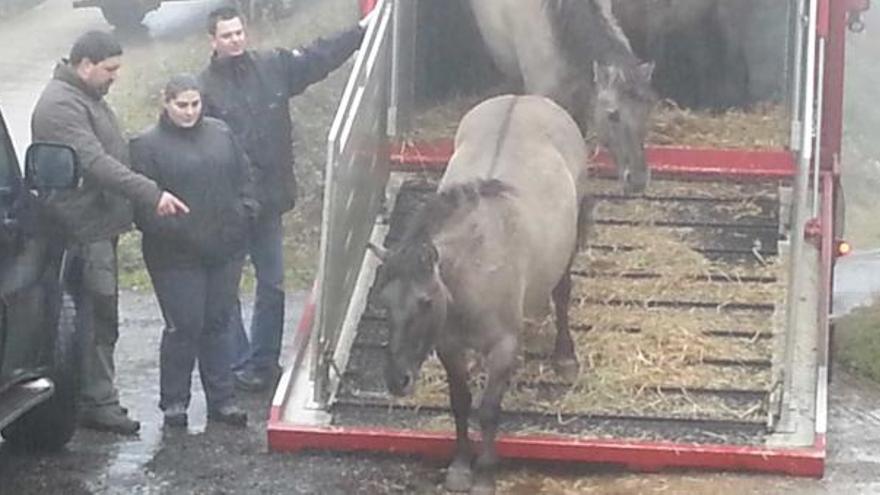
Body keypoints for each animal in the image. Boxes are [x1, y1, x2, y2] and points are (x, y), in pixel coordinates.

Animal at [368, 95, 588, 494]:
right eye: (384, 302)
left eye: (425, 302)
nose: (397, 380)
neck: (474, 270)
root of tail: (526, 98)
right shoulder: (449, 346)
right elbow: (461, 402)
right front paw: (459, 468)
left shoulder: (502, 346)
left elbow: (487, 410)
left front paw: (485, 474)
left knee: (562, 292)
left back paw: (565, 355)